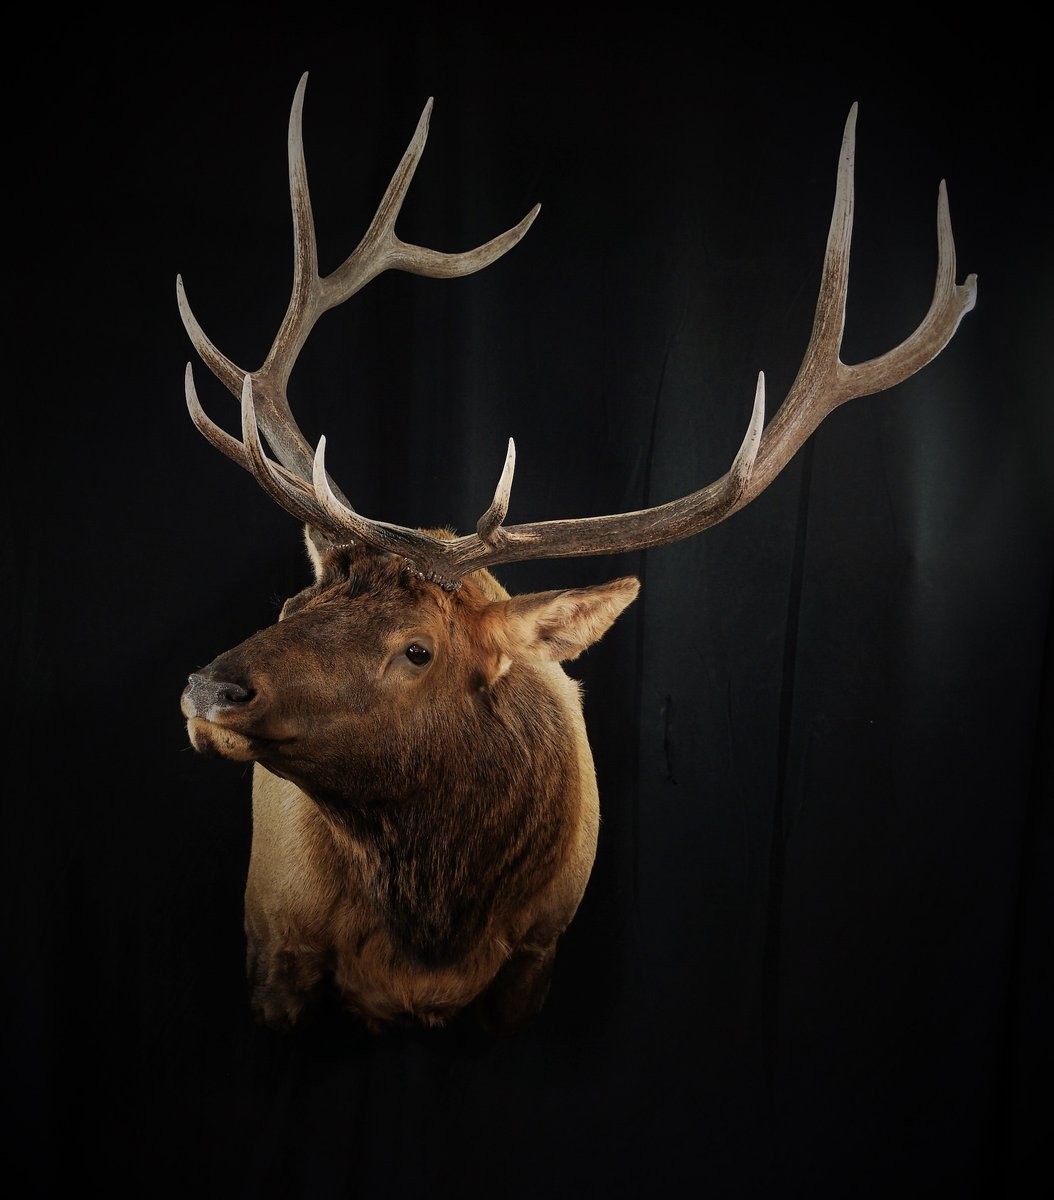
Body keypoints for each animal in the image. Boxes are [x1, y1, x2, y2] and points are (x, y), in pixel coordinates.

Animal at [178, 73, 977, 1036]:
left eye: (418, 649)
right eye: (294, 606)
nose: (210, 690)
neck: (432, 940)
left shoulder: (538, 952)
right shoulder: (277, 947)